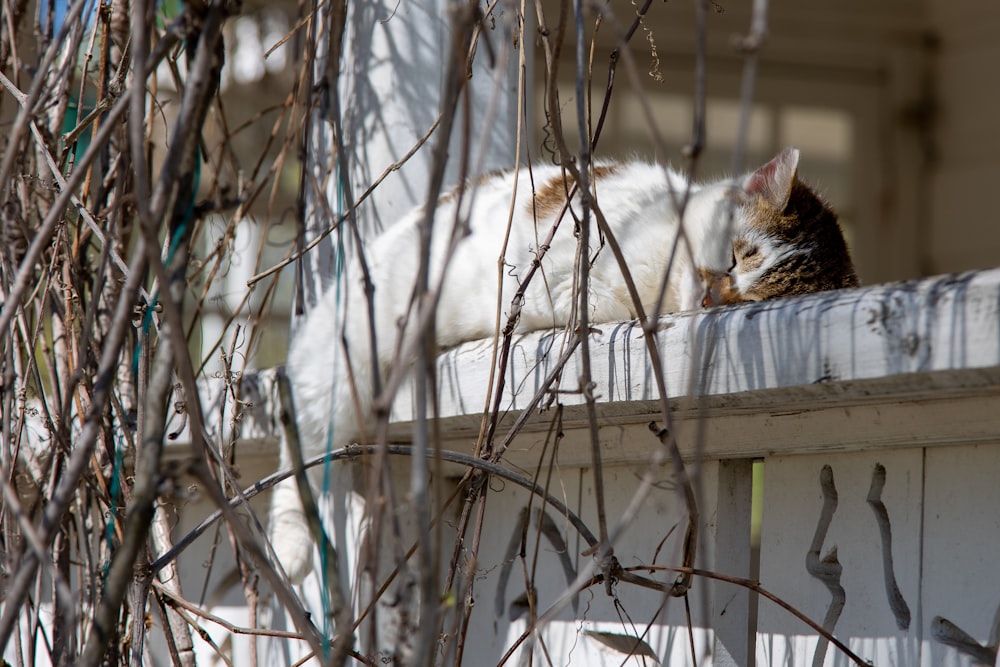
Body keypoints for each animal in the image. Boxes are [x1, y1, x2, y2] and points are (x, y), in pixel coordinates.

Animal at [272, 147, 860, 584]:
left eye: (749, 301)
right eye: (736, 255)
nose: (711, 296)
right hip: (347, 351)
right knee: (303, 435)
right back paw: (291, 545)